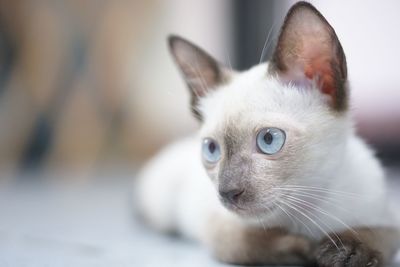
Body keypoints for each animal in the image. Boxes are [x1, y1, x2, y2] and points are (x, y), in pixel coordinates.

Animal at [136, 1, 398, 266]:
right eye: (212, 149)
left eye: (269, 140)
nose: (227, 193)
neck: (309, 212)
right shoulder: (222, 228)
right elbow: (260, 242)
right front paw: (308, 249)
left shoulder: (385, 219)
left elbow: (372, 234)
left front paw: (347, 252)